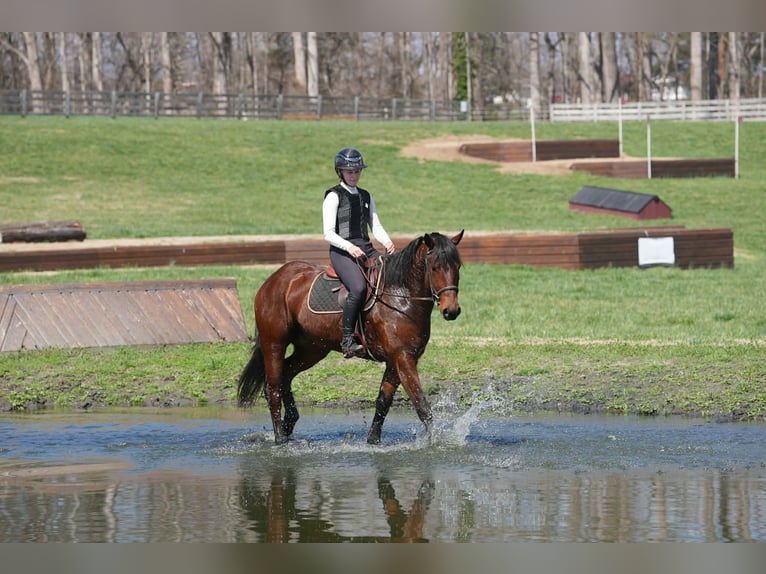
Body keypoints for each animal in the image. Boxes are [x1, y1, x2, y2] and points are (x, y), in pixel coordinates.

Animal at [237, 230, 463, 445]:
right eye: (435, 267)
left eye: (458, 267)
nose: (451, 311)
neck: (402, 297)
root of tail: (275, 278)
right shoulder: (403, 358)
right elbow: (421, 404)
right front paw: (436, 442)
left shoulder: (397, 361)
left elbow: (383, 402)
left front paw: (373, 441)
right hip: (274, 344)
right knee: (273, 388)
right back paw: (280, 438)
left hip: (312, 349)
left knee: (286, 375)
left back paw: (289, 424)